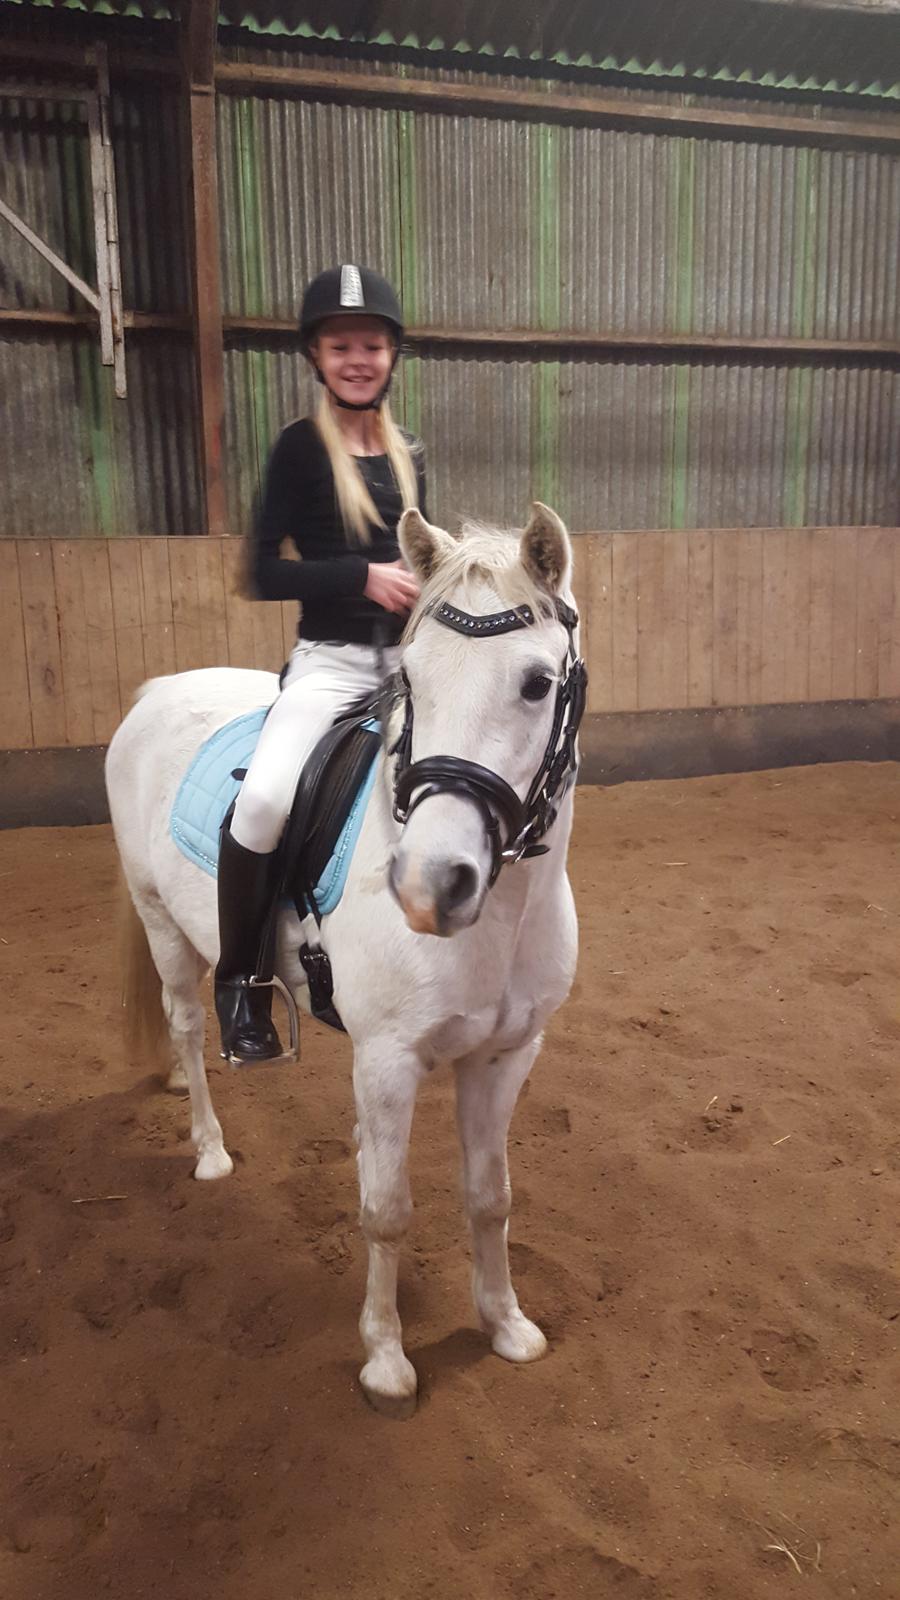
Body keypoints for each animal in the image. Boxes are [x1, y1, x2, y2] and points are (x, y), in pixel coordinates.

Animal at [105, 503, 584, 1418]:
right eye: (414, 681)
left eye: (538, 683)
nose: (431, 884)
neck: (499, 920)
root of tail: (158, 691)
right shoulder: (389, 1059)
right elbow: (386, 1211)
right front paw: (386, 1362)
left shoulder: (508, 1054)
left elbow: (491, 1196)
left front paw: (507, 1327)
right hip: (161, 923)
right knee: (186, 1026)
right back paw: (209, 1145)